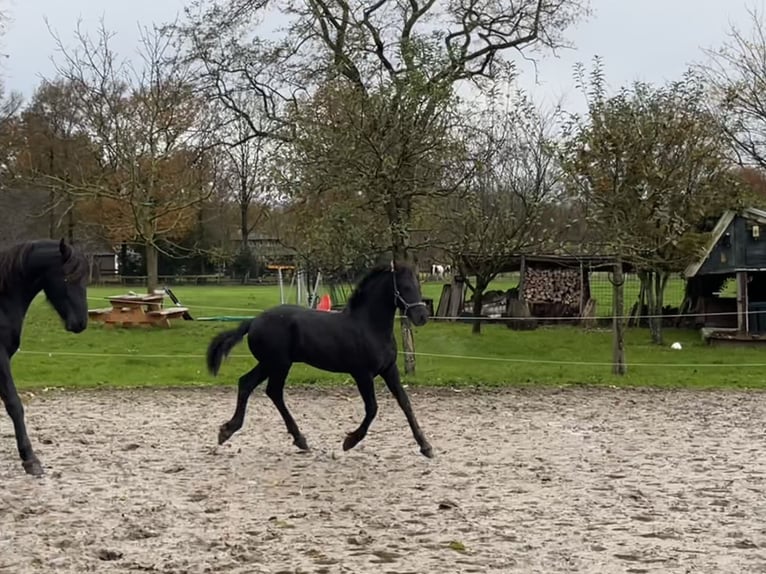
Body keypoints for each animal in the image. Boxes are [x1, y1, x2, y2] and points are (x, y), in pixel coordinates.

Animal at [207, 260, 436, 460]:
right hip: (278, 364)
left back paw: (230, 431)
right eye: (404, 287)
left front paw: (426, 447)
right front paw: (349, 442)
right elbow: (372, 408)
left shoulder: (389, 369)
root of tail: (253, 321)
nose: (422, 317)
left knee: (248, 384)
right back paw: (297, 439)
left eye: (418, 284)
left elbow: (405, 403)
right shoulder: (362, 374)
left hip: (269, 364)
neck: (369, 326)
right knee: (272, 391)